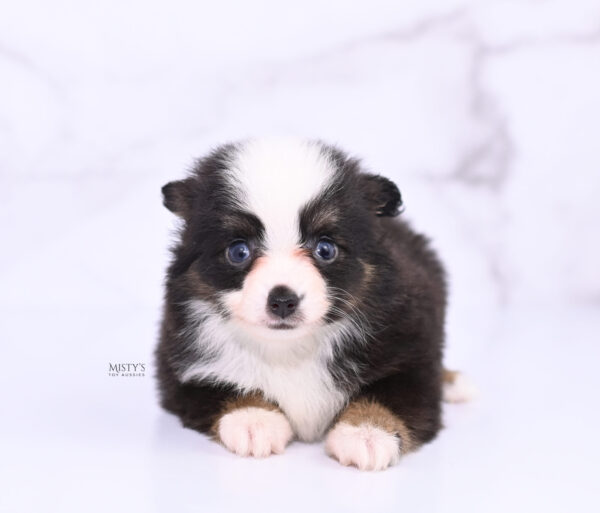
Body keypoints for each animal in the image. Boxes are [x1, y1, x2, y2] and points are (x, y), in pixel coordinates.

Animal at [156, 138, 468, 470]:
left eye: (325, 249)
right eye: (238, 252)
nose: (282, 301)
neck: (291, 351)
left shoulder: (410, 349)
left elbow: (389, 394)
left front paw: (366, 432)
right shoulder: (180, 365)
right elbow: (221, 387)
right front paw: (254, 419)